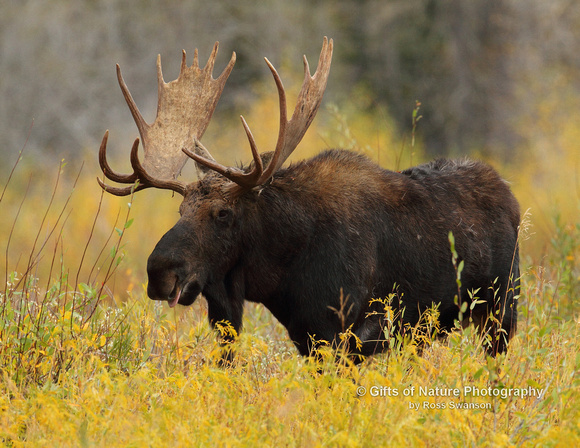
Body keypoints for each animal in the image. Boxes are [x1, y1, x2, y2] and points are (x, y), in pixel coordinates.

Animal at [97, 37, 520, 360]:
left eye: (223, 213)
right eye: (182, 209)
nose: (159, 271)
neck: (282, 268)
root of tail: (510, 195)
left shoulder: (346, 333)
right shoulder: (306, 336)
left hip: (501, 311)